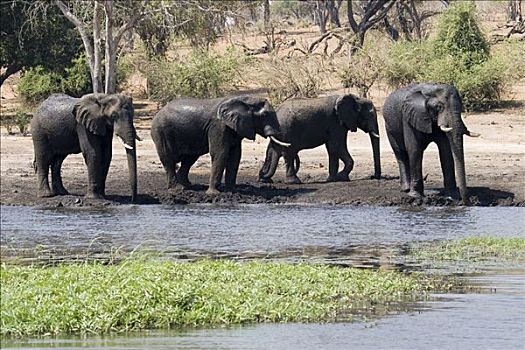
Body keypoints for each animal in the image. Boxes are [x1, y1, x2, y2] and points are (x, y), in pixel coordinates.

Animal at [149, 95, 288, 194]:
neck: (244, 99)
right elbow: (220, 153)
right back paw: (177, 189)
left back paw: (187, 186)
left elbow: (235, 156)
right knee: (168, 160)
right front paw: (214, 194)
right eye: (265, 115)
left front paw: (232, 191)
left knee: (189, 159)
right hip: (161, 132)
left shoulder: (234, 128)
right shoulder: (218, 126)